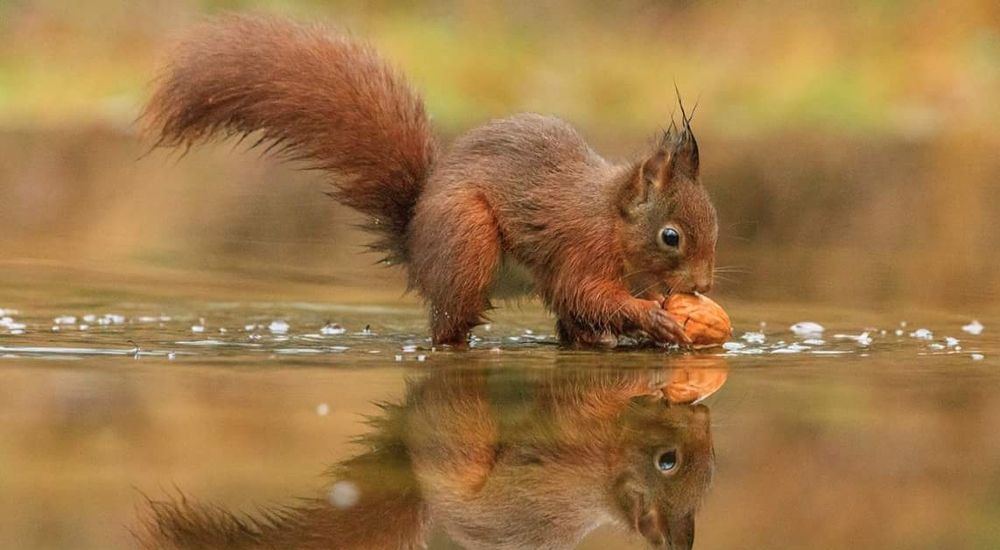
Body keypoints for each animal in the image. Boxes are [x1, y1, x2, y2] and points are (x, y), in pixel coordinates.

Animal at [145, 15, 719, 347]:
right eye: (670, 236)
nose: (703, 287)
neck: (610, 217)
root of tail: (415, 236)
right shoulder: (581, 248)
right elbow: (589, 293)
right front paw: (652, 319)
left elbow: (588, 305)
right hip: (467, 241)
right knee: (452, 328)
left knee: (566, 325)